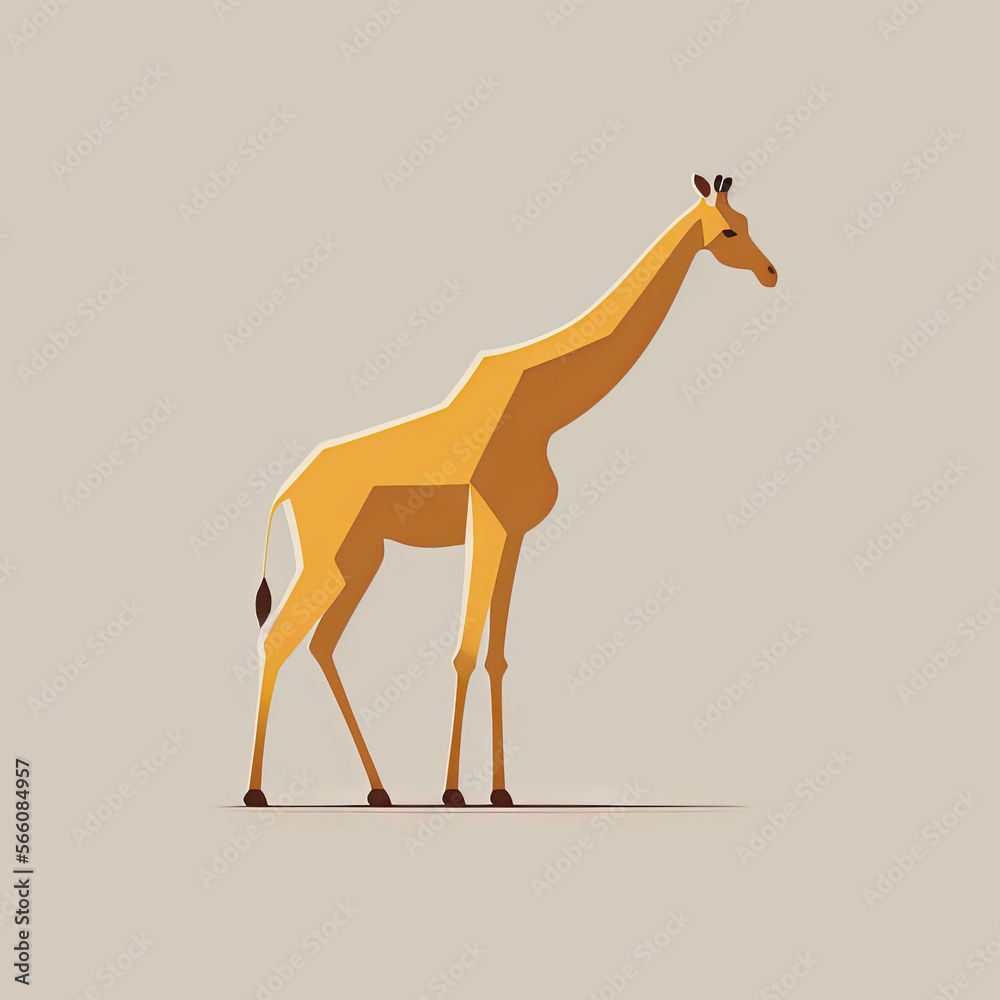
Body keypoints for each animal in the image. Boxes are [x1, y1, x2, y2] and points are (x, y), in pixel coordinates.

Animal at [243, 173, 777, 808]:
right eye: (729, 231)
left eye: (748, 222)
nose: (771, 272)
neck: (541, 409)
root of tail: (287, 489)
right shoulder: (487, 518)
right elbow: (465, 649)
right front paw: (452, 792)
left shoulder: (518, 530)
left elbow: (495, 655)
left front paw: (500, 791)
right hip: (327, 557)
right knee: (278, 640)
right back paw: (256, 792)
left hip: (360, 558)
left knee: (321, 645)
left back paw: (380, 790)